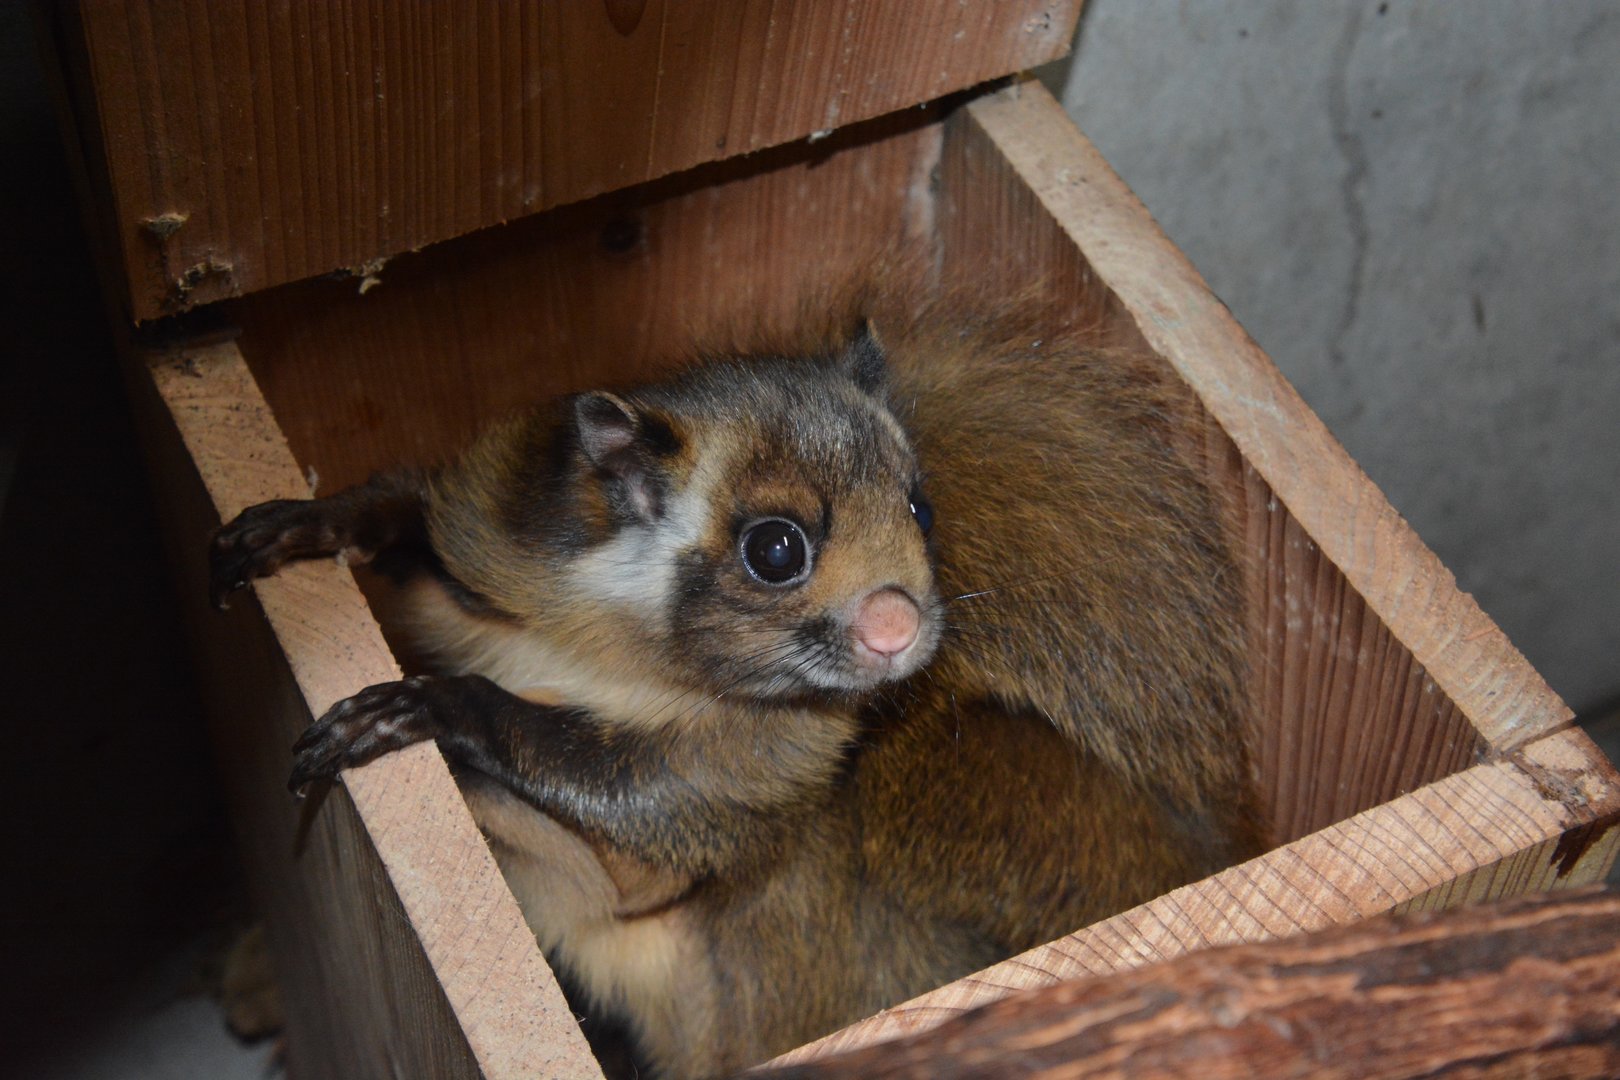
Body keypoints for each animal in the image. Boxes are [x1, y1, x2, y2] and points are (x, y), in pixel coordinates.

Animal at [210, 301, 1267, 1078]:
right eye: (775, 548)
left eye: (920, 508)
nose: (899, 628)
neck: (626, 654)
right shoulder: (498, 535)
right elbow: (413, 520)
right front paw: (308, 523)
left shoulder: (752, 774)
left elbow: (628, 796)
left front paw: (434, 709)